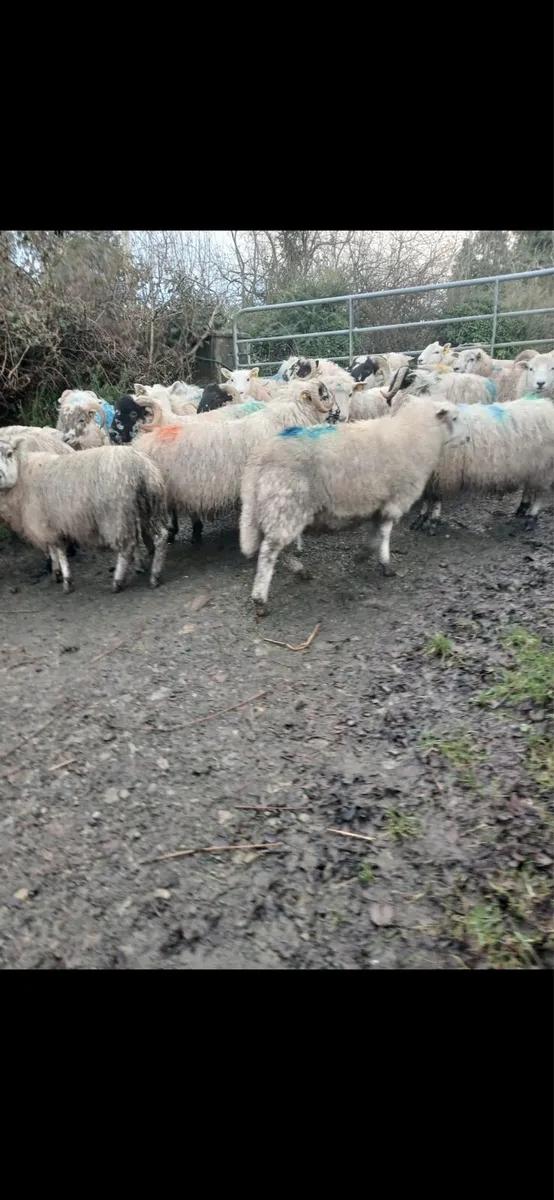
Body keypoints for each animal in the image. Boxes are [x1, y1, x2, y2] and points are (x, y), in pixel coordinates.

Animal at [0, 440, 169, 593]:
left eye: (9, 454)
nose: (1, 476)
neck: (22, 475)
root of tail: (141, 467)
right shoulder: (49, 524)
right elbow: (53, 550)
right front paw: (56, 573)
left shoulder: (47, 523)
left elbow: (59, 551)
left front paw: (67, 581)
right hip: (148, 508)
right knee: (161, 536)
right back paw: (155, 576)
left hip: (115, 516)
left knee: (126, 548)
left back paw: (118, 581)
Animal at [239, 396, 460, 615]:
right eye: (455, 418)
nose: (465, 439)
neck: (415, 433)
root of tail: (259, 457)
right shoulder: (395, 499)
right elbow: (385, 533)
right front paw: (384, 564)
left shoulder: (379, 504)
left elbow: (376, 534)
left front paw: (365, 554)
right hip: (284, 504)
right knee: (269, 551)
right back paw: (260, 599)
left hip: (275, 509)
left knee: (274, 546)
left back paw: (300, 570)